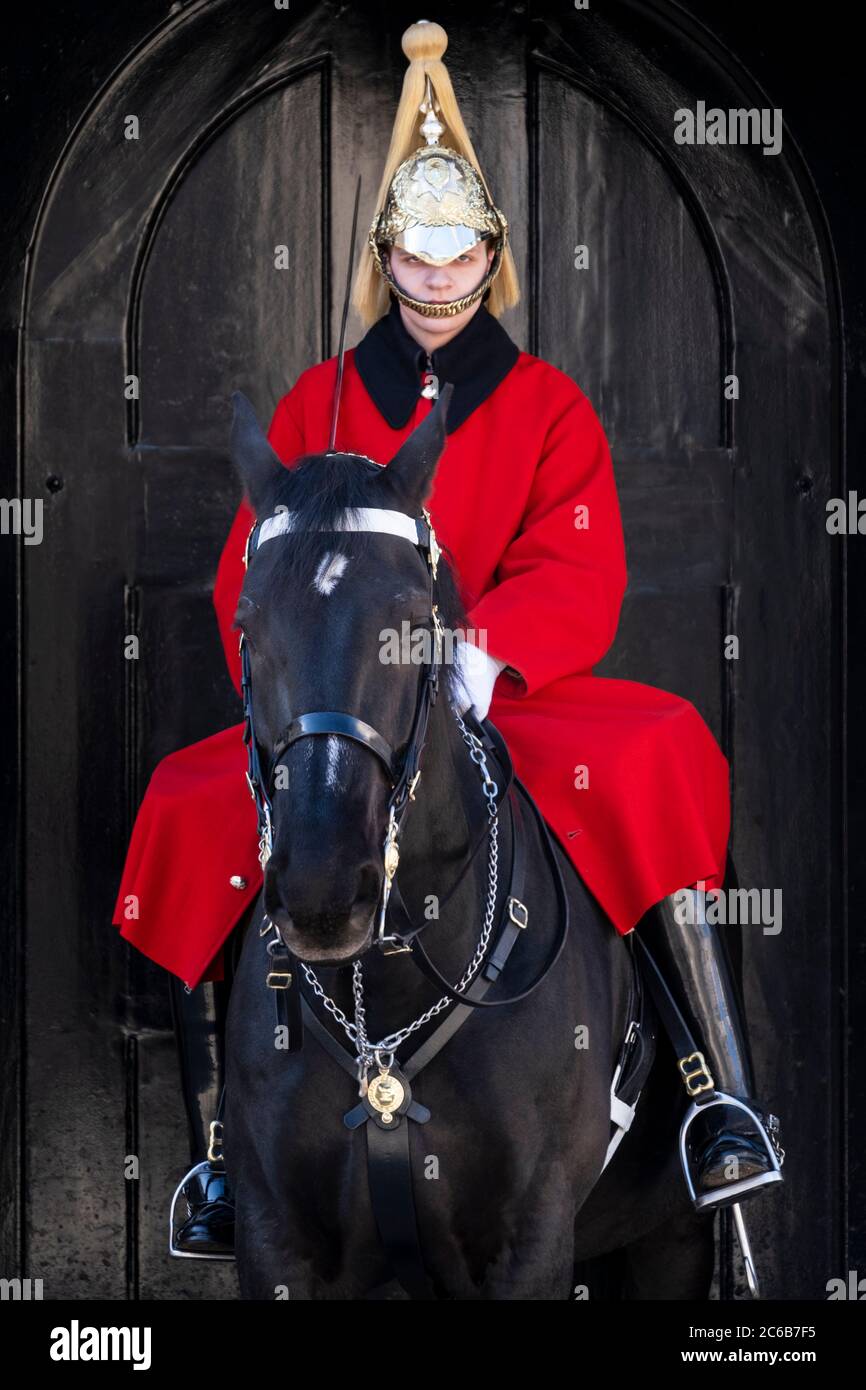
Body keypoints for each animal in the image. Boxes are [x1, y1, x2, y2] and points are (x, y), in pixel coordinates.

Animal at [225, 386, 717, 1295]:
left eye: (411, 622)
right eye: (248, 621)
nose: (322, 891)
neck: (382, 998)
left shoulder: (531, 1240)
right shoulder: (276, 1239)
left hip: (672, 1238)